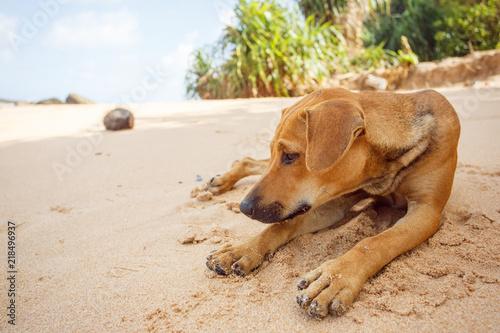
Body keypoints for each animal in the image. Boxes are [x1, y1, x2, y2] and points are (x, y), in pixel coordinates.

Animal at [204, 87, 460, 316]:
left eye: (290, 156)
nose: (243, 208)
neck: (379, 170)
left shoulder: (427, 211)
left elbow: (377, 242)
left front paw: (335, 277)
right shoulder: (334, 198)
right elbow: (282, 225)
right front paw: (242, 249)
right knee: (251, 161)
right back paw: (221, 180)